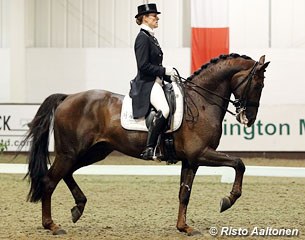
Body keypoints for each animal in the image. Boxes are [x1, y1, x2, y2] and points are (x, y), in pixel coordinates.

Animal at [24, 53, 268, 235]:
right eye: (258, 84)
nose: (249, 119)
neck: (202, 102)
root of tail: (68, 97)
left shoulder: (191, 160)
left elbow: (184, 193)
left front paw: (184, 227)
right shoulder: (200, 153)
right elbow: (239, 163)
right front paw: (228, 200)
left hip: (94, 152)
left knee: (65, 174)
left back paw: (78, 208)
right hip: (70, 152)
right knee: (49, 180)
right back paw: (52, 225)